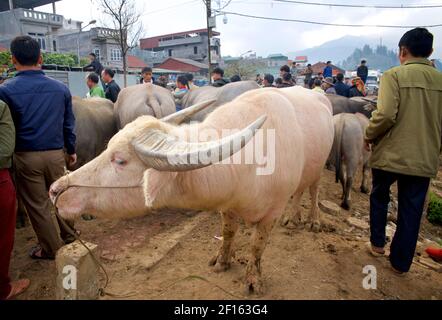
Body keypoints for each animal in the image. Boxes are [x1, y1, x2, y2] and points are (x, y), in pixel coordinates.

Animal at [49, 85, 332, 296]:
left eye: (120, 160)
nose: (55, 190)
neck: (250, 162)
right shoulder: (228, 207)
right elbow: (228, 233)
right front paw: (222, 261)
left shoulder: (271, 212)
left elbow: (256, 246)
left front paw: (253, 279)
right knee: (300, 192)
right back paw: (292, 217)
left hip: (319, 168)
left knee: (313, 189)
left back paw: (313, 220)